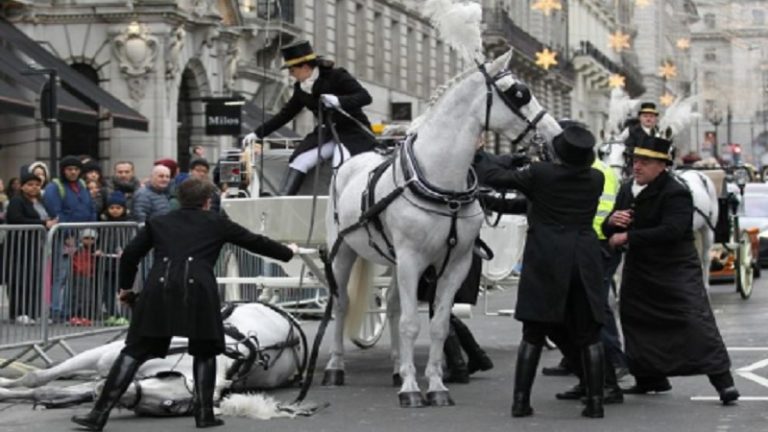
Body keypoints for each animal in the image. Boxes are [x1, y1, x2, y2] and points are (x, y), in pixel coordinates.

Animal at [0, 302, 316, 420]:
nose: (99, 392)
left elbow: (46, 390)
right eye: (167, 376)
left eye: (169, 407)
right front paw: (8, 383)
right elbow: (37, 379)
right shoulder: (104, 356)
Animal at [320, 50, 560, 408]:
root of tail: (348, 162)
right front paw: (411, 389)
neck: (441, 180)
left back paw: (397, 368)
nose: (555, 135)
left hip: (392, 261)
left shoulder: (455, 264)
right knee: (342, 303)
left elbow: (438, 324)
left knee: (392, 305)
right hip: (344, 252)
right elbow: (410, 324)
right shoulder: (411, 260)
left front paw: (434, 385)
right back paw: (336, 368)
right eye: (519, 93)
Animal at [600, 143, 720, 290]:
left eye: (625, 154)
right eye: (603, 153)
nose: (614, 177)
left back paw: (706, 286)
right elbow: (619, 271)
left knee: (706, 257)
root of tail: (698, 173)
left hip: (708, 229)